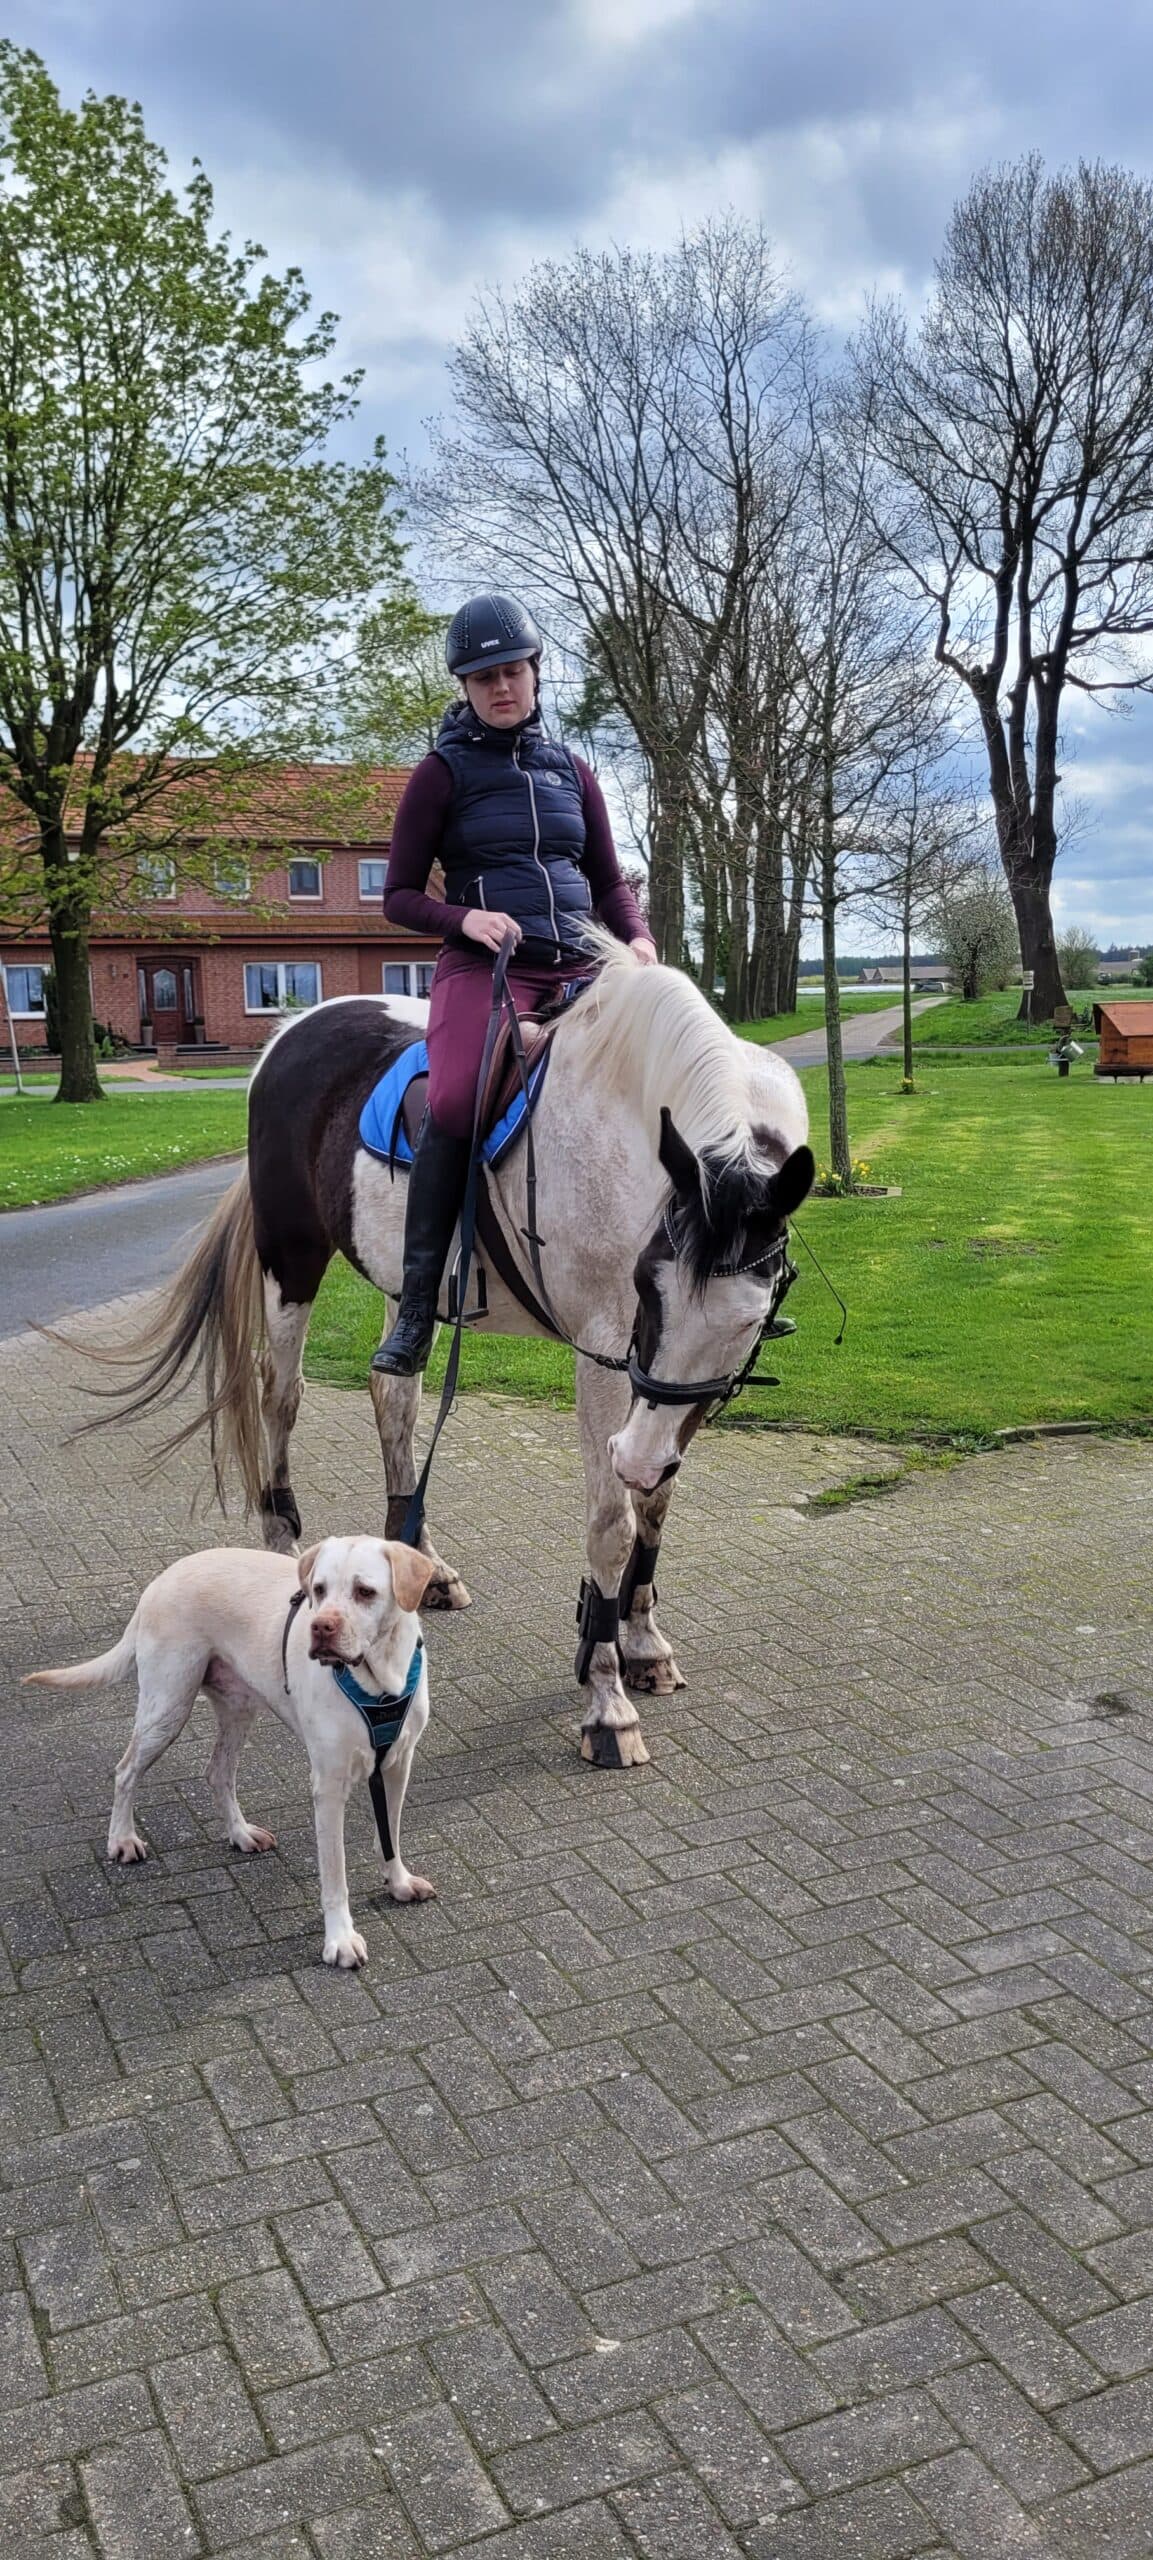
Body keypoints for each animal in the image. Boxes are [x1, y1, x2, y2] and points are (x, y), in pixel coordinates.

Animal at [25, 1536, 436, 1969]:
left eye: (365, 1591)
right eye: (319, 1590)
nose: (320, 1627)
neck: (378, 1681)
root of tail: (160, 1579)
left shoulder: (397, 1763)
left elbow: (389, 1835)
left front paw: (399, 1882)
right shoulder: (328, 1784)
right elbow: (334, 1873)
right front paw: (340, 1939)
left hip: (237, 1707)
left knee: (217, 1772)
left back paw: (241, 1834)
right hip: (167, 1706)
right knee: (126, 1771)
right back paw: (122, 1838)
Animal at [93, 938, 813, 1769]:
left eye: (750, 1318)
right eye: (646, 1284)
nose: (635, 1456)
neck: (630, 1128)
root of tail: (291, 1032)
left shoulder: (669, 1392)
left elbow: (654, 1506)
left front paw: (642, 1642)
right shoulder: (607, 1354)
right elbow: (612, 1523)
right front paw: (606, 1705)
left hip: (406, 1283)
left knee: (393, 1394)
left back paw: (422, 1564)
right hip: (292, 1258)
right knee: (282, 1395)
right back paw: (285, 1540)